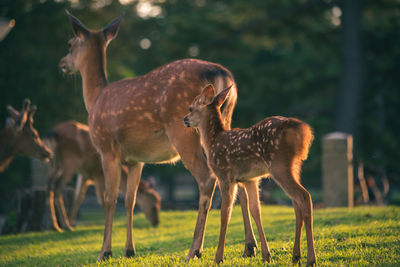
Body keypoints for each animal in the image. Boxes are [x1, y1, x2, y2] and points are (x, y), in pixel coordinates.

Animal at [59, 11, 260, 262]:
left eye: (70, 44)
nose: (62, 64)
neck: (95, 99)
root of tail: (221, 74)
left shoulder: (107, 149)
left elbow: (109, 198)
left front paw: (104, 252)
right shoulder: (135, 159)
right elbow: (130, 199)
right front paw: (129, 250)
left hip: (182, 129)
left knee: (206, 178)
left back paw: (194, 250)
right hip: (226, 122)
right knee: (237, 181)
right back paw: (249, 247)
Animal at [184, 85, 316, 266]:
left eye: (191, 108)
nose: (185, 119)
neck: (212, 142)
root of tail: (302, 131)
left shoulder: (224, 175)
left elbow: (225, 214)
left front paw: (218, 257)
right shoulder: (250, 179)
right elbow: (255, 210)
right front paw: (266, 255)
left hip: (279, 165)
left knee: (304, 196)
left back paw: (311, 258)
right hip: (295, 166)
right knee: (296, 203)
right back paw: (296, 256)